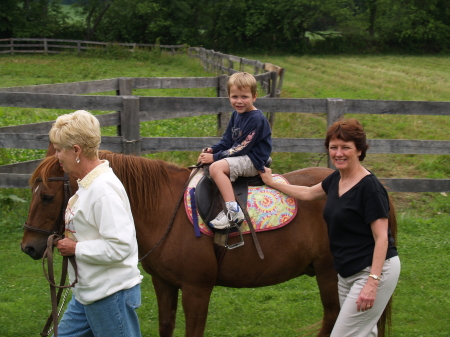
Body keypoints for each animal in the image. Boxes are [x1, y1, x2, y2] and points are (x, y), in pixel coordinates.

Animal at [20, 148, 338, 334]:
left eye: (46, 196)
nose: (29, 246)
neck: (162, 208)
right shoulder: (165, 283)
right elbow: (166, 325)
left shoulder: (197, 289)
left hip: (328, 271)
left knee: (332, 314)